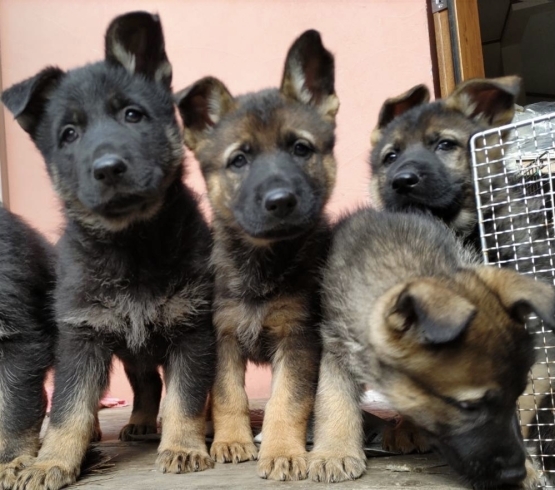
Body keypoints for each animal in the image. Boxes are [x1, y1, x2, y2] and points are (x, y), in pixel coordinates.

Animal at [1, 11, 215, 490]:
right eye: (69, 134)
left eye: (133, 115)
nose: (108, 169)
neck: (130, 245)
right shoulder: (82, 337)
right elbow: (69, 407)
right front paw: (50, 461)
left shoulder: (192, 329)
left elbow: (187, 396)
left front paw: (183, 445)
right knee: (144, 386)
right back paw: (132, 423)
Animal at [174, 28, 338, 480]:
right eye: (239, 160)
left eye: (301, 149)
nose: (280, 202)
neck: (262, 262)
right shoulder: (223, 337)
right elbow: (228, 395)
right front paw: (232, 442)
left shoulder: (298, 339)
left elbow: (287, 401)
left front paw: (282, 451)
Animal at [308, 208, 555, 490]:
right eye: (468, 407)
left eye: (516, 396)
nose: (516, 472)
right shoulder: (336, 344)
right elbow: (333, 398)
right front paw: (334, 452)